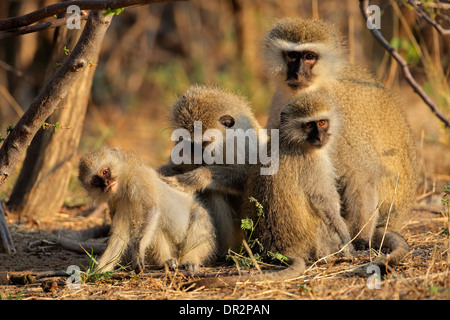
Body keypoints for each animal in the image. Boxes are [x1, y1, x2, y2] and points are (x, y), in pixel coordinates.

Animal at [78, 146, 216, 274]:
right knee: (157, 224)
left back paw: (189, 260)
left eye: (105, 171)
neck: (124, 186)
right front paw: (99, 271)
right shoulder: (115, 201)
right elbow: (120, 236)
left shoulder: (139, 180)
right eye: (96, 180)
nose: (106, 183)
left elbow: (152, 210)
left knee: (198, 214)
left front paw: (137, 252)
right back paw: (166, 260)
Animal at [264, 16, 418, 264]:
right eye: (292, 56)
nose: (297, 74)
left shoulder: (340, 114)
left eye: (310, 56)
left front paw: (359, 240)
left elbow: (361, 176)